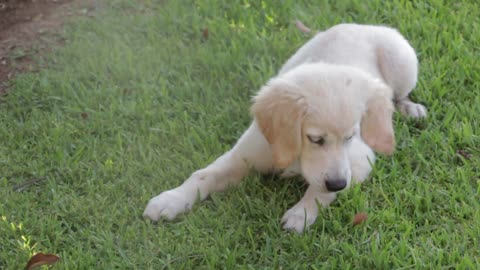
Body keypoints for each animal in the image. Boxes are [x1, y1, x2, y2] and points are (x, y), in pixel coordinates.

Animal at [143, 24, 428, 233]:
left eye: (351, 136)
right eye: (315, 139)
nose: (337, 183)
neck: (297, 157)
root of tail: (361, 25)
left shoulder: (359, 160)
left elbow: (320, 191)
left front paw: (301, 213)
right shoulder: (243, 155)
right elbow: (202, 175)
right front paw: (170, 199)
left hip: (402, 62)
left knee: (399, 95)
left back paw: (411, 109)